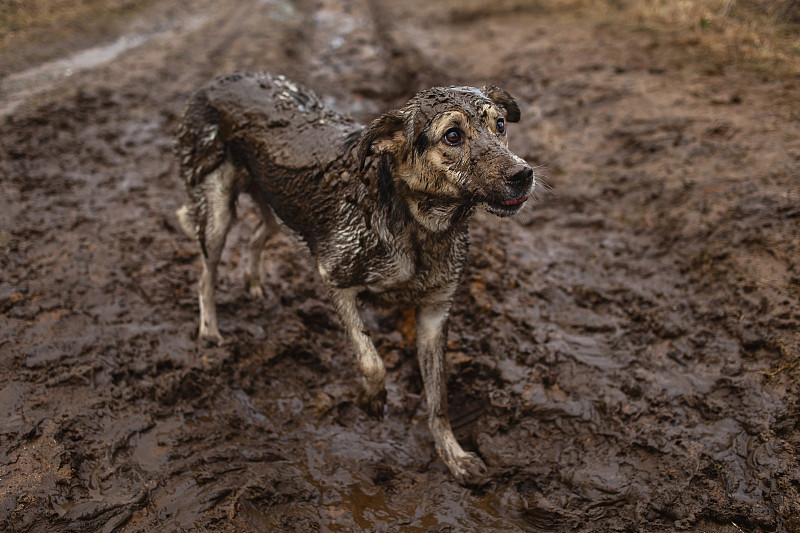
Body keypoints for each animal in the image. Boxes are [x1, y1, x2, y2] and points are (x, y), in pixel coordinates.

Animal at [178, 71, 536, 482]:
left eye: (500, 125)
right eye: (452, 135)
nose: (523, 174)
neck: (418, 225)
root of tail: (220, 79)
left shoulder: (435, 312)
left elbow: (438, 397)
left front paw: (453, 455)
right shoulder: (334, 278)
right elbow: (371, 359)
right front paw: (371, 400)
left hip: (277, 202)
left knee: (256, 236)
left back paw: (254, 284)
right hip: (216, 210)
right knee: (205, 275)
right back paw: (210, 332)